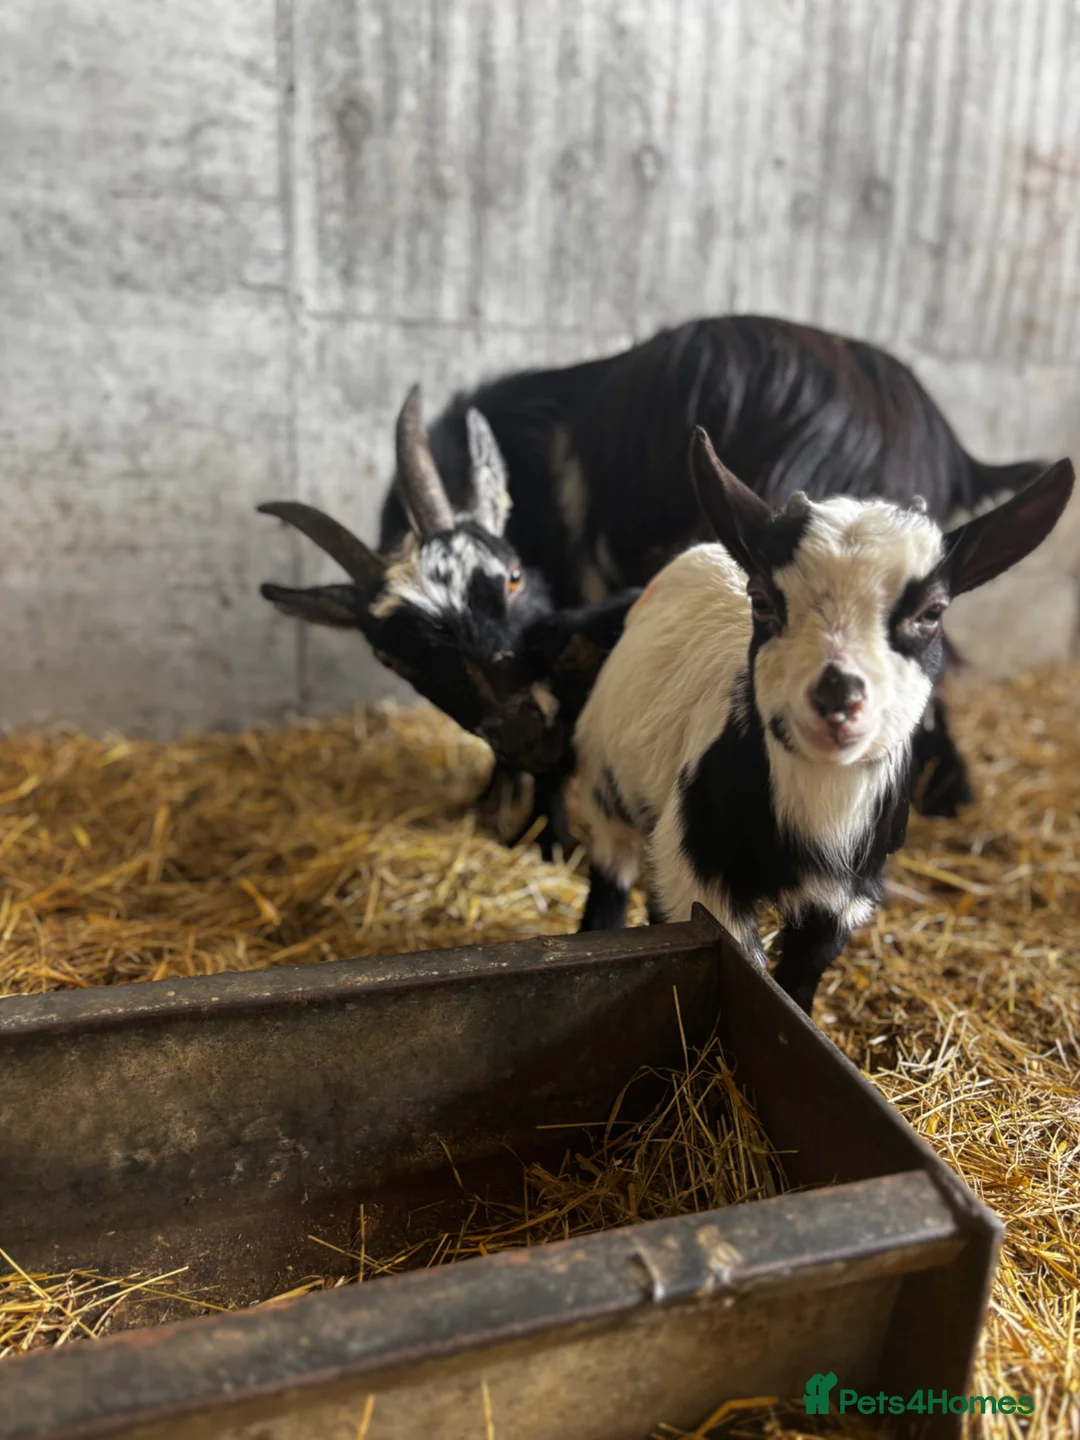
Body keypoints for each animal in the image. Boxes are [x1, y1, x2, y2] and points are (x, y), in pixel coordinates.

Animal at [259, 315, 1052, 851]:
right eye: (392, 654)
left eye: (510, 578)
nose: (523, 729)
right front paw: (497, 809)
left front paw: (544, 833)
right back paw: (949, 798)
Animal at [571, 429, 1073, 1014]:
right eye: (762, 599)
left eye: (931, 613)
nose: (837, 697)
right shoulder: (696, 868)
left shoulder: (845, 897)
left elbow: (799, 982)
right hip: (607, 785)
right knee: (611, 875)